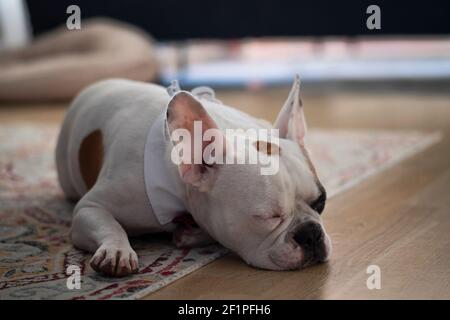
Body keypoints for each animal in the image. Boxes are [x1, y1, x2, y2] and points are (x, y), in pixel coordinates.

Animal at [56, 75, 330, 276]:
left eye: (321, 202)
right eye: (268, 217)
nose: (311, 233)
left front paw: (191, 234)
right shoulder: (89, 208)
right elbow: (109, 224)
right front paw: (117, 250)